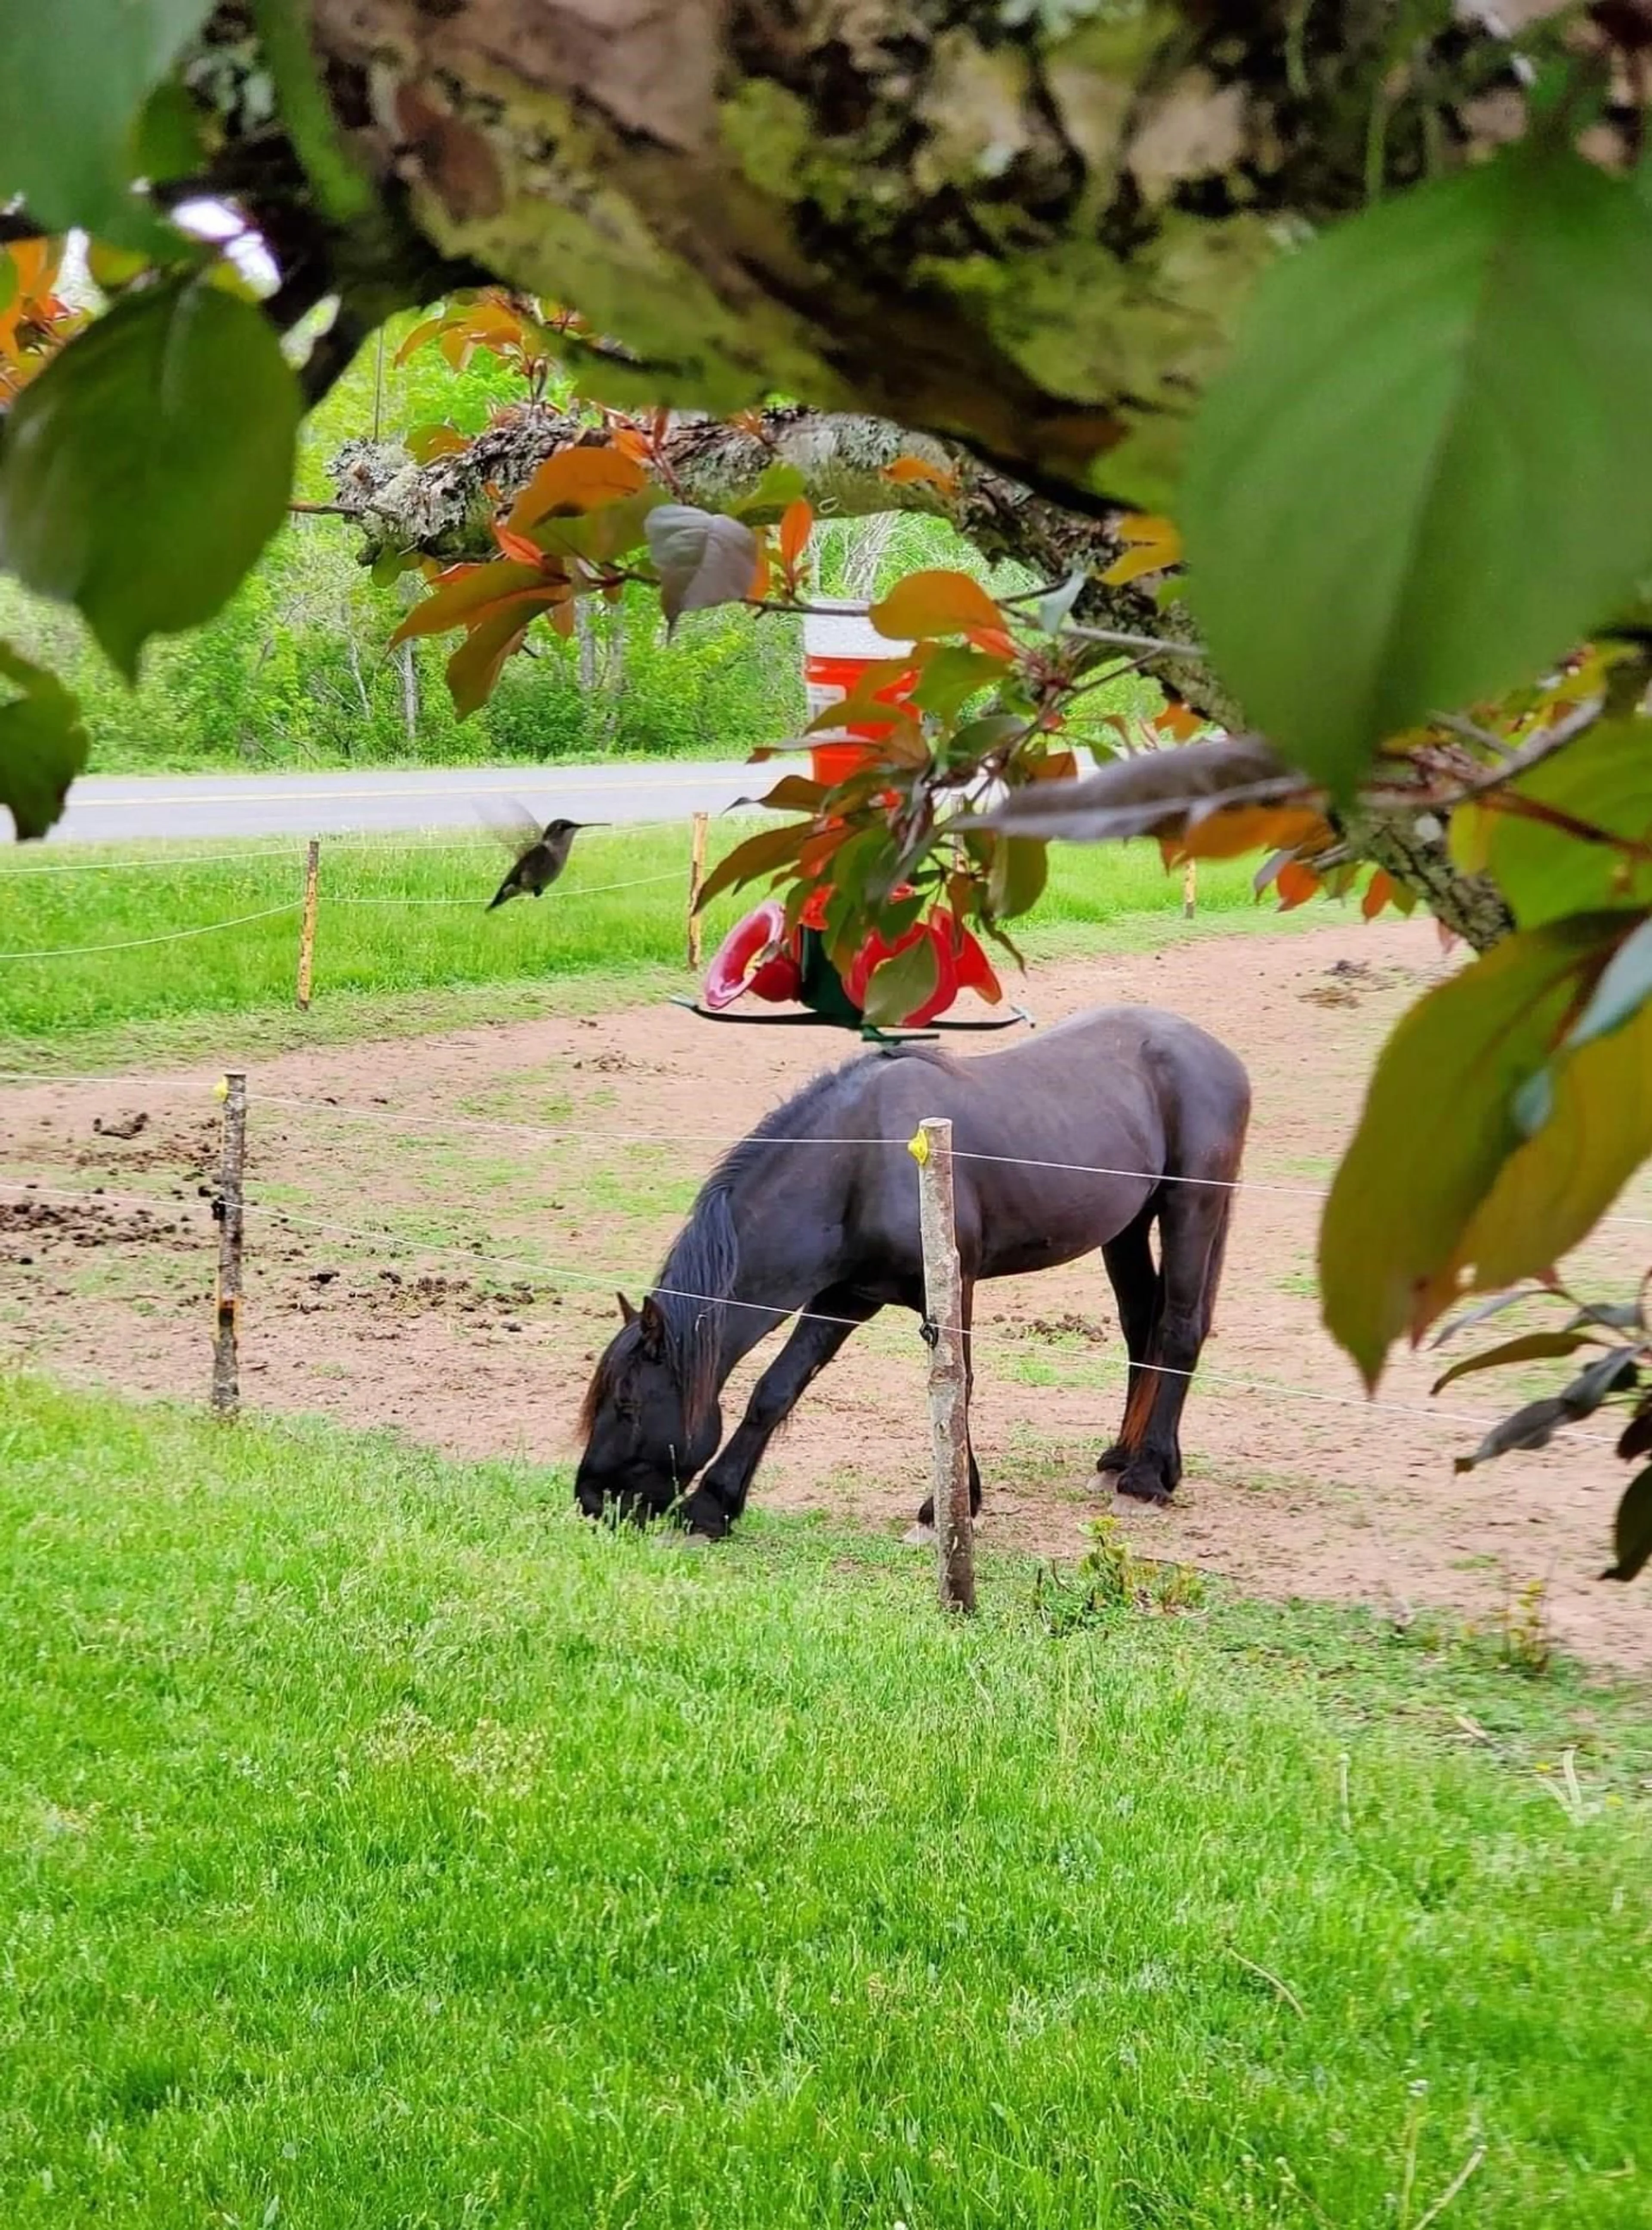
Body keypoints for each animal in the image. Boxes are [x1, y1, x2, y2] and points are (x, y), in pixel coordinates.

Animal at [575, 1008, 1239, 1534]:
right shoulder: (845, 1297)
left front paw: (948, 1506)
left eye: (629, 1403)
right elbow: (776, 1390)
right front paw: (714, 1505)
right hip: (1126, 1229)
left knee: (1179, 1327)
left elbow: (959, 1385)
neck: (861, 1159)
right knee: (1141, 1326)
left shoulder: (951, 1289)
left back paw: (1147, 1477)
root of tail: (1213, 1051)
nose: (590, 1501)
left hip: (1192, 1207)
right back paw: (1122, 1457)